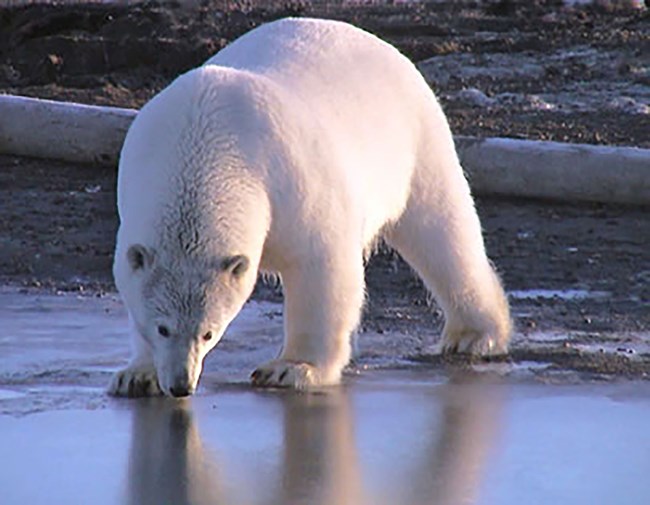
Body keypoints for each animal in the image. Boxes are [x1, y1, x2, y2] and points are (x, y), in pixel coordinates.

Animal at [109, 16, 508, 398]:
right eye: (162, 328)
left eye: (209, 332)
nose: (181, 385)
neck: (205, 141)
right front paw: (137, 376)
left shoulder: (289, 180)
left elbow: (321, 265)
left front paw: (291, 369)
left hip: (415, 144)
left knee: (442, 231)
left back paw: (475, 335)